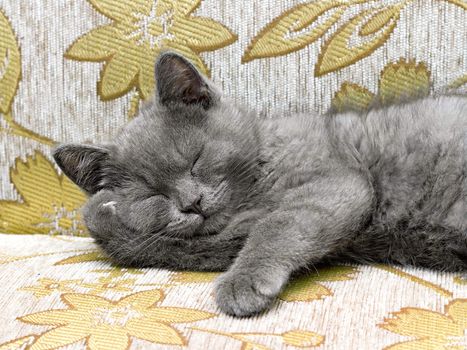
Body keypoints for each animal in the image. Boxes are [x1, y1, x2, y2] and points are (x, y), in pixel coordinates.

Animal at [52, 52, 467, 318]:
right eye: (153, 194)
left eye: (196, 158)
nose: (191, 201)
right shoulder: (220, 238)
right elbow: (175, 247)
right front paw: (105, 213)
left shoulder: (339, 182)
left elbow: (277, 224)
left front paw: (243, 285)